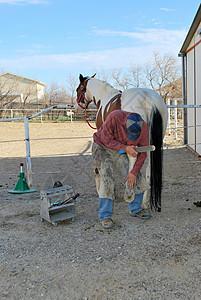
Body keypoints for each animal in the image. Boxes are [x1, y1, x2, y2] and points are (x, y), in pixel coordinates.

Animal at [76, 74, 168, 211]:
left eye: (78, 89)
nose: (75, 107)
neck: (104, 97)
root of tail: (149, 99)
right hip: (153, 143)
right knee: (149, 168)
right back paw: (144, 202)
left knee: (133, 158)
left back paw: (130, 193)